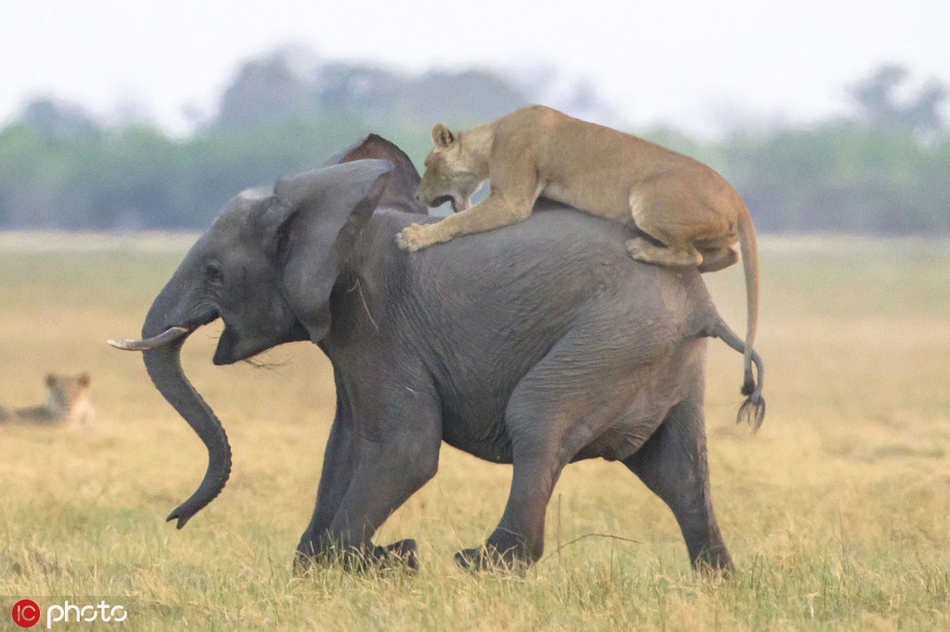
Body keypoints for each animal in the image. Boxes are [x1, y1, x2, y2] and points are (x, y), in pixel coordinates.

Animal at [109, 134, 764, 573]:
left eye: (215, 275)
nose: (175, 520)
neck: (340, 214)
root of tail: (703, 305)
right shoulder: (352, 340)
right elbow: (345, 443)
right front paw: (324, 567)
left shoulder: (381, 327)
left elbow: (405, 450)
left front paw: (380, 560)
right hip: (659, 354)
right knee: (676, 468)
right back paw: (717, 580)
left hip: (614, 339)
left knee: (538, 418)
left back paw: (480, 563)